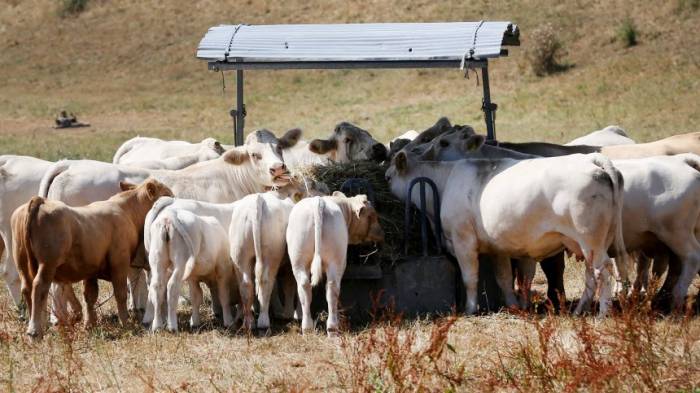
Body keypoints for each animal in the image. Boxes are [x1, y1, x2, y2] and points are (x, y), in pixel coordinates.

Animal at [11, 178, 172, 336]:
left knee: (27, 288)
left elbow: (89, 295)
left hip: (22, 264)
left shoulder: (91, 268)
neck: (126, 211)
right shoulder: (119, 262)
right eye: (167, 194)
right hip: (47, 264)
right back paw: (35, 330)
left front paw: (90, 325)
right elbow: (120, 294)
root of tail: (40, 201)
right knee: (39, 287)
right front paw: (125, 324)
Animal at [284, 193, 382, 334]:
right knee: (332, 289)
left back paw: (307, 327)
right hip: (336, 260)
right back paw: (332, 327)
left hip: (298, 257)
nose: (381, 233)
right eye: (372, 215)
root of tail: (318, 201)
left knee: (305, 287)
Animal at [386, 146, 628, 316]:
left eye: (388, 177)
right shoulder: (497, 247)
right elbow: (503, 278)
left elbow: (470, 277)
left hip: (590, 238)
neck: (444, 183)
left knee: (603, 271)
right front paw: (513, 306)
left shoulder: (463, 239)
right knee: (591, 275)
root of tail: (591, 158)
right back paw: (579, 311)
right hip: (592, 242)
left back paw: (603, 313)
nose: (383, 180)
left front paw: (470, 309)